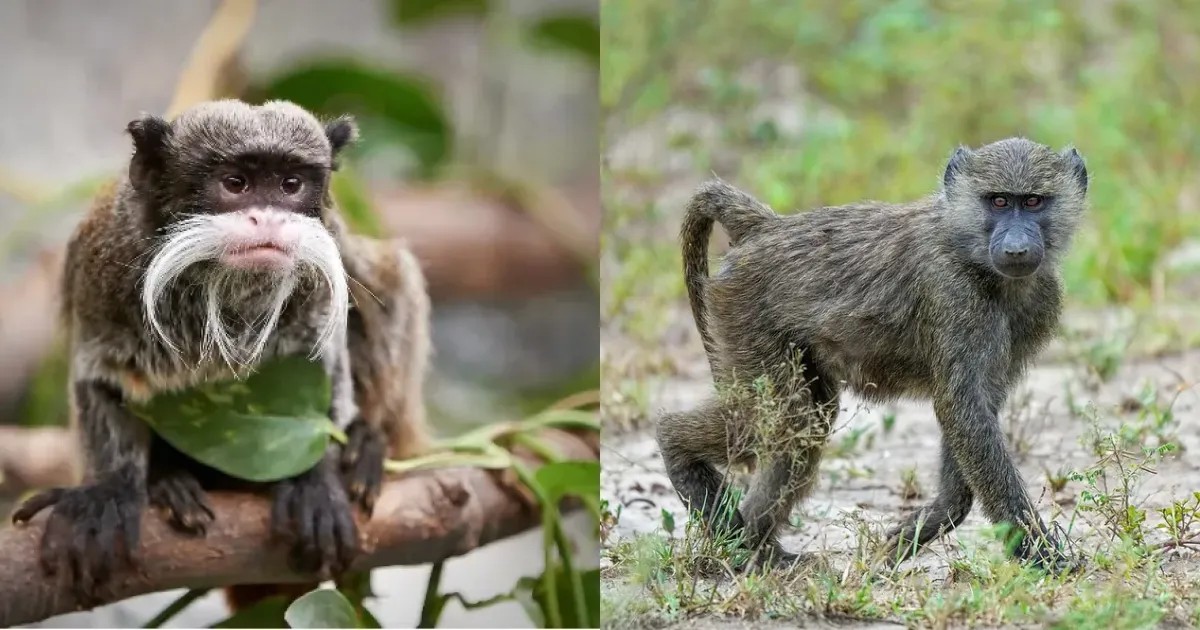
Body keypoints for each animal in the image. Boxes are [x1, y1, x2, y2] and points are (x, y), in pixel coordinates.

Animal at [9, 99, 433, 608]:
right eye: (236, 183)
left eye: (291, 185)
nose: (268, 218)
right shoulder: (103, 272)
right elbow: (101, 378)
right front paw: (109, 489)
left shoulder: (319, 279)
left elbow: (327, 367)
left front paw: (313, 479)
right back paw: (169, 481)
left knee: (387, 280)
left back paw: (365, 445)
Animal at [656, 137, 1088, 573]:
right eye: (998, 201)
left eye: (1033, 201)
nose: (1016, 248)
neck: (972, 252)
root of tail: (767, 227)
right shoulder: (952, 294)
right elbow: (963, 410)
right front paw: (1043, 557)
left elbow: (975, 410)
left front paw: (923, 526)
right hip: (744, 315)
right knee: (784, 419)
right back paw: (684, 459)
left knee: (806, 426)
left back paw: (758, 550)